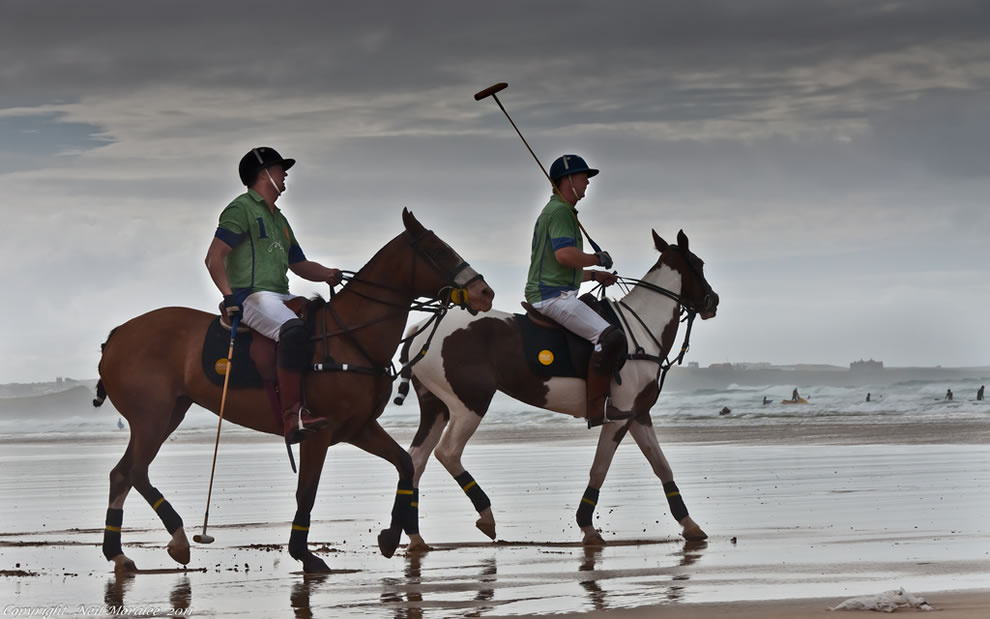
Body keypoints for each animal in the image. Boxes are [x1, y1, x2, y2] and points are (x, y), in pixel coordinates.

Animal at [93, 208, 494, 574]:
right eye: (438, 250)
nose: (484, 292)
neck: (352, 338)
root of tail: (116, 335)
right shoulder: (318, 432)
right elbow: (307, 490)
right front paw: (303, 553)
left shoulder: (359, 428)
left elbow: (405, 465)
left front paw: (391, 537)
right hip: (152, 415)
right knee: (136, 472)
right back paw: (177, 538)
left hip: (171, 411)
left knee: (121, 473)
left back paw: (119, 554)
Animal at [393, 229, 718, 549]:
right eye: (699, 264)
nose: (713, 301)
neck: (639, 331)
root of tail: (419, 331)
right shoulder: (618, 415)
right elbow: (600, 469)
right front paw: (587, 526)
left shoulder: (636, 414)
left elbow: (662, 466)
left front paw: (690, 524)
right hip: (470, 403)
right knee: (447, 452)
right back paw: (485, 515)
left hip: (437, 407)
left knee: (416, 461)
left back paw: (415, 537)